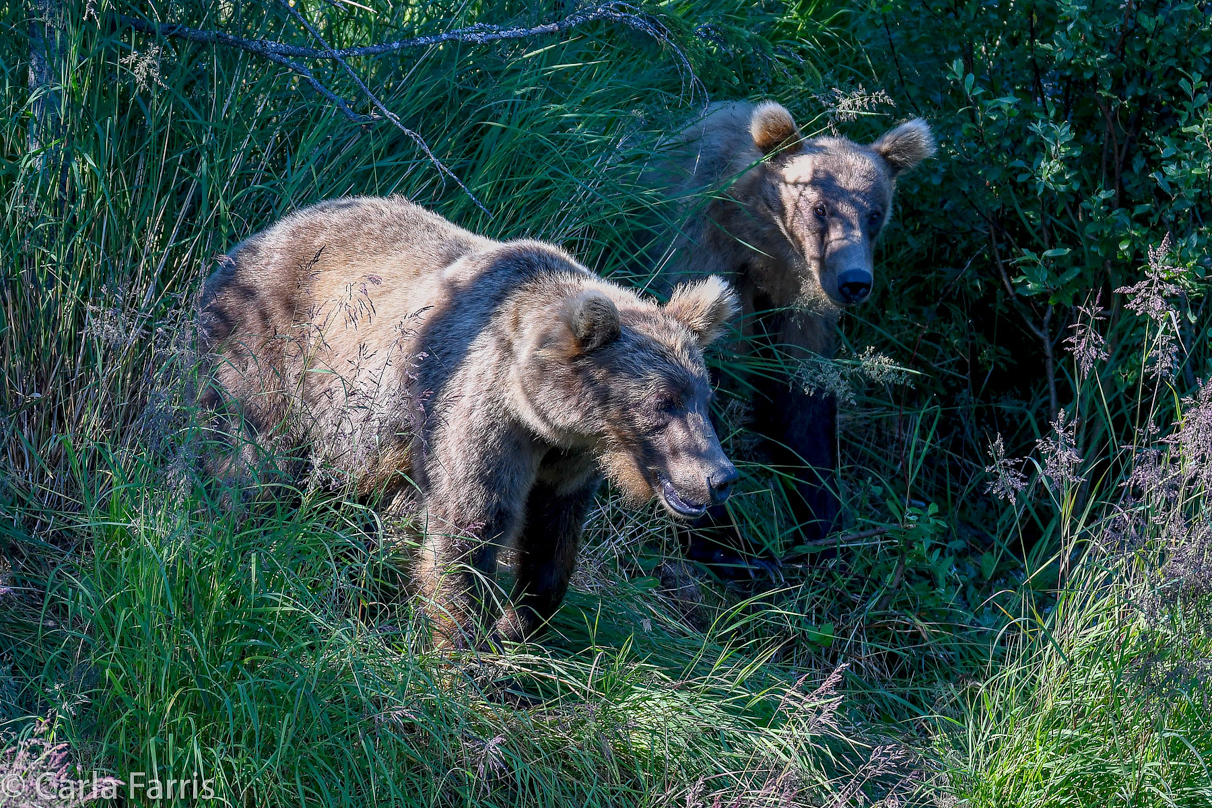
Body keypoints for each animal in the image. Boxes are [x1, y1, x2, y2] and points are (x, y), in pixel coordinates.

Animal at [198, 198, 736, 649]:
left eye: (704, 397)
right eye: (663, 402)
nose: (720, 477)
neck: (541, 413)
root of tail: (257, 237)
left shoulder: (567, 459)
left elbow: (551, 538)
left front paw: (519, 625)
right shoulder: (476, 409)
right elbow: (470, 523)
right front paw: (462, 650)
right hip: (270, 350)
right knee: (248, 455)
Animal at [644, 101, 935, 569]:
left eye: (875, 213)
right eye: (821, 208)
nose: (855, 281)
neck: (764, 247)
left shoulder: (801, 306)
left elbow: (802, 404)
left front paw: (823, 526)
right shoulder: (703, 255)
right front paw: (731, 548)